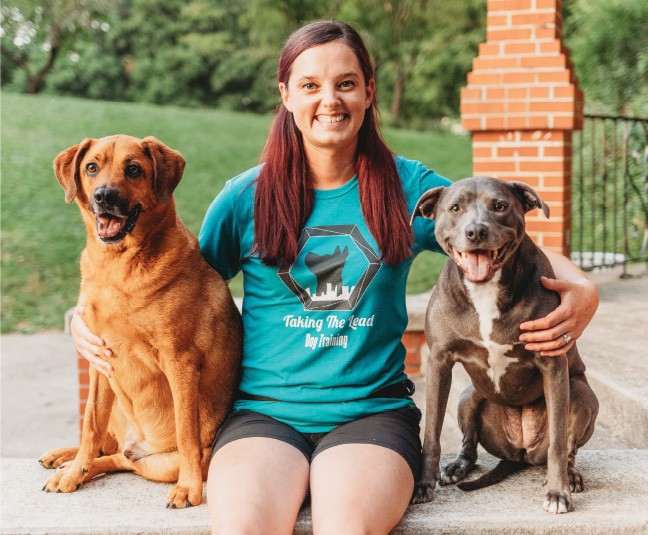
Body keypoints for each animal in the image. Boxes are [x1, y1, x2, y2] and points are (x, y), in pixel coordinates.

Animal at [40, 135, 243, 510]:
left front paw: (189, 488)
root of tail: (140, 447)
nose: (103, 196)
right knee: (110, 448)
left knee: (124, 459)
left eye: (133, 170)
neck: (118, 267)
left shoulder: (180, 361)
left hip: (163, 462)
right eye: (91, 167)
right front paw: (74, 473)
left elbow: (186, 432)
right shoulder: (99, 357)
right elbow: (90, 426)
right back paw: (67, 461)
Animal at [412, 177, 600, 516]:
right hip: (468, 395)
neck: (485, 289)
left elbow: (558, 441)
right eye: (455, 208)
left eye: (499, 206)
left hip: (581, 394)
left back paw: (571, 475)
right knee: (469, 444)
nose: (476, 231)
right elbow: (431, 433)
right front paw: (423, 485)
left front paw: (558, 493)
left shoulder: (553, 363)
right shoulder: (438, 362)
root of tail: (520, 452)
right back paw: (457, 467)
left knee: (567, 447)